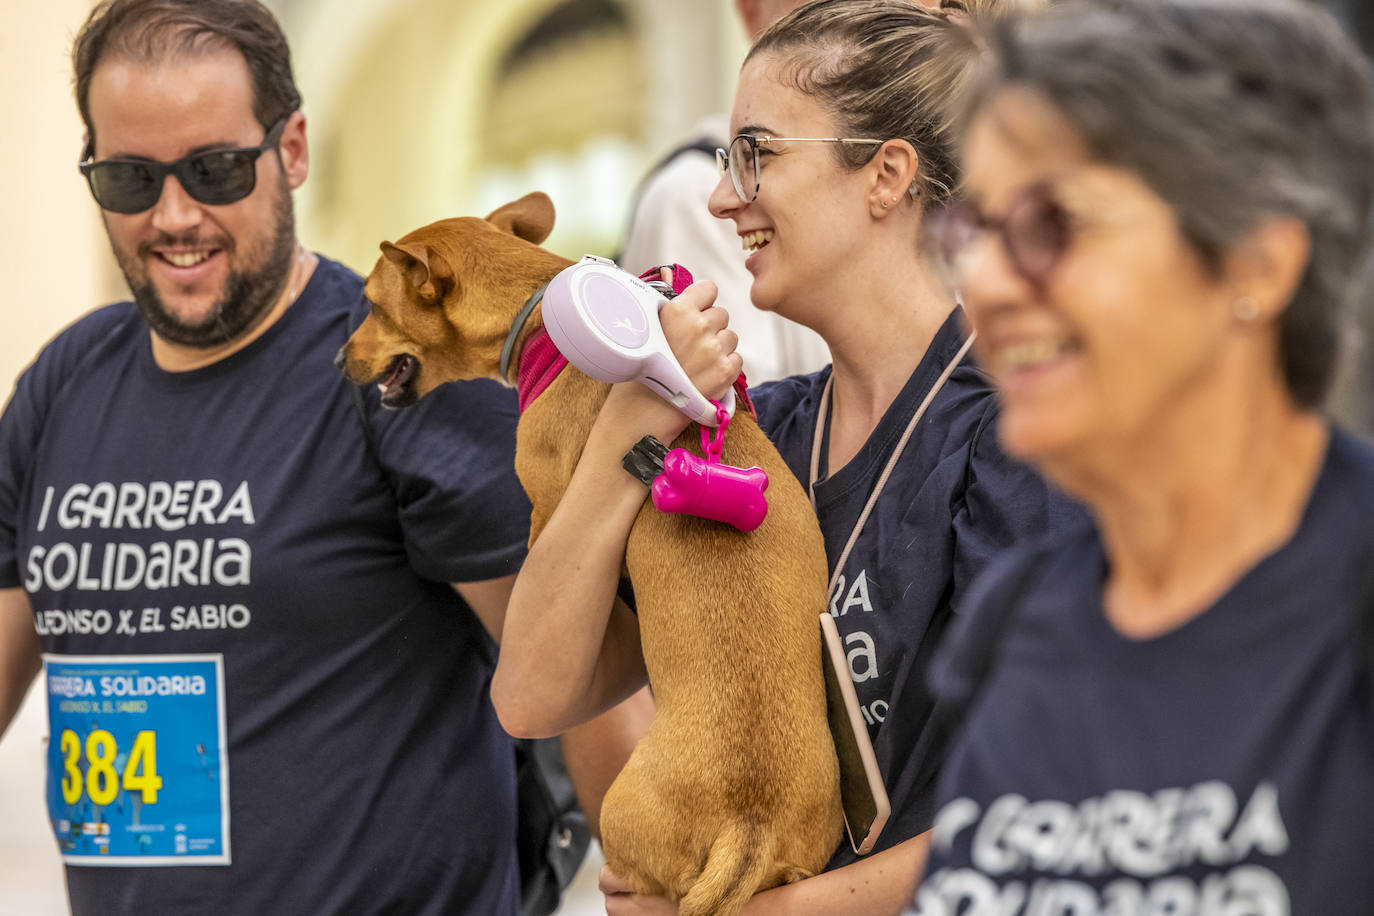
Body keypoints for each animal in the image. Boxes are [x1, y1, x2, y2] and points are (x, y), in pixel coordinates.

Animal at [338, 189, 840, 911]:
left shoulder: (545, 504)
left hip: (621, 821)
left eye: (374, 307)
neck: (540, 314)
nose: (337, 360)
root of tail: (751, 821)